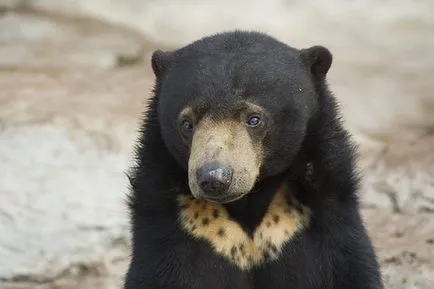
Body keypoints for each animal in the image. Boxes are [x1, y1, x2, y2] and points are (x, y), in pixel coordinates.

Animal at [123, 31, 384, 288]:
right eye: (186, 123)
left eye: (254, 119)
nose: (214, 178)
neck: (249, 205)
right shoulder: (178, 225)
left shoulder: (324, 217)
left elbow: (350, 268)